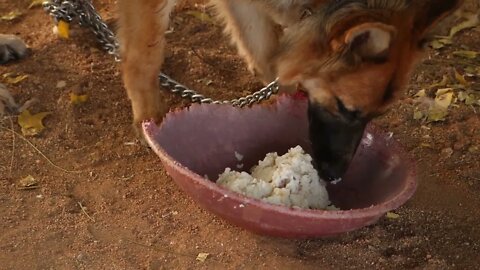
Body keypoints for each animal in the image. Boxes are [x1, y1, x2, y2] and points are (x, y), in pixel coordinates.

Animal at [116, 0, 462, 181]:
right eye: (345, 109)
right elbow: (145, 58)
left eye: (375, 116)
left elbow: (265, 48)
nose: (335, 176)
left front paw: (276, 102)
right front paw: (150, 122)